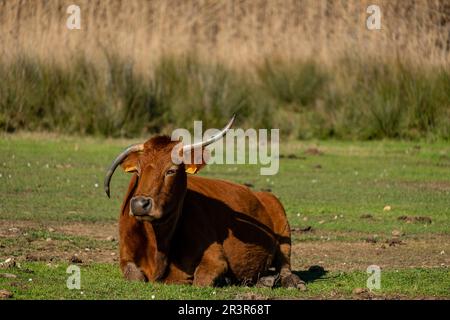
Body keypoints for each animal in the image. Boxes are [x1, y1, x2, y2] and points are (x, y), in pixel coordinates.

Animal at [103, 116, 304, 288]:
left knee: (285, 266)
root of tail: (260, 194)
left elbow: (200, 280)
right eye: (137, 171)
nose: (139, 204)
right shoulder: (126, 257)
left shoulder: (215, 257)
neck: (158, 242)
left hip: (283, 228)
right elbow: (134, 276)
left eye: (171, 170)